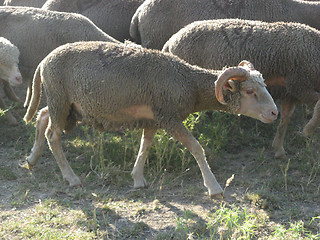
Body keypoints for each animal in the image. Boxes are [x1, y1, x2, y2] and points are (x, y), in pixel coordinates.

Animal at [23, 41, 278, 198]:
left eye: (264, 86)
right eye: (249, 92)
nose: (275, 113)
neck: (189, 83)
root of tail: (44, 61)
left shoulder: (153, 119)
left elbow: (145, 146)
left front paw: (138, 179)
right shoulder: (169, 116)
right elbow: (196, 147)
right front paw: (214, 187)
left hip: (65, 105)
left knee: (42, 116)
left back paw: (32, 158)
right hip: (60, 100)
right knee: (53, 135)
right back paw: (71, 178)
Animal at [162, 18, 320, 159]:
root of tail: (171, 41)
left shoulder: (290, 93)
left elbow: (285, 120)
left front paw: (279, 149)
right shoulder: (300, 86)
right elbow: (318, 106)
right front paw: (307, 130)